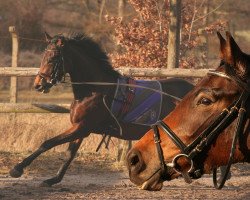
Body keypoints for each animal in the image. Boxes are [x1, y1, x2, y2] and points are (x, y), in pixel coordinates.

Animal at [8, 32, 192, 187]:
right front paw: (53, 179)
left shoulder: (82, 127)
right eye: (44, 56)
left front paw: (17, 169)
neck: (95, 90)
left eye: (53, 58)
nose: (38, 85)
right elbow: (69, 154)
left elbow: (48, 143)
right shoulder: (80, 129)